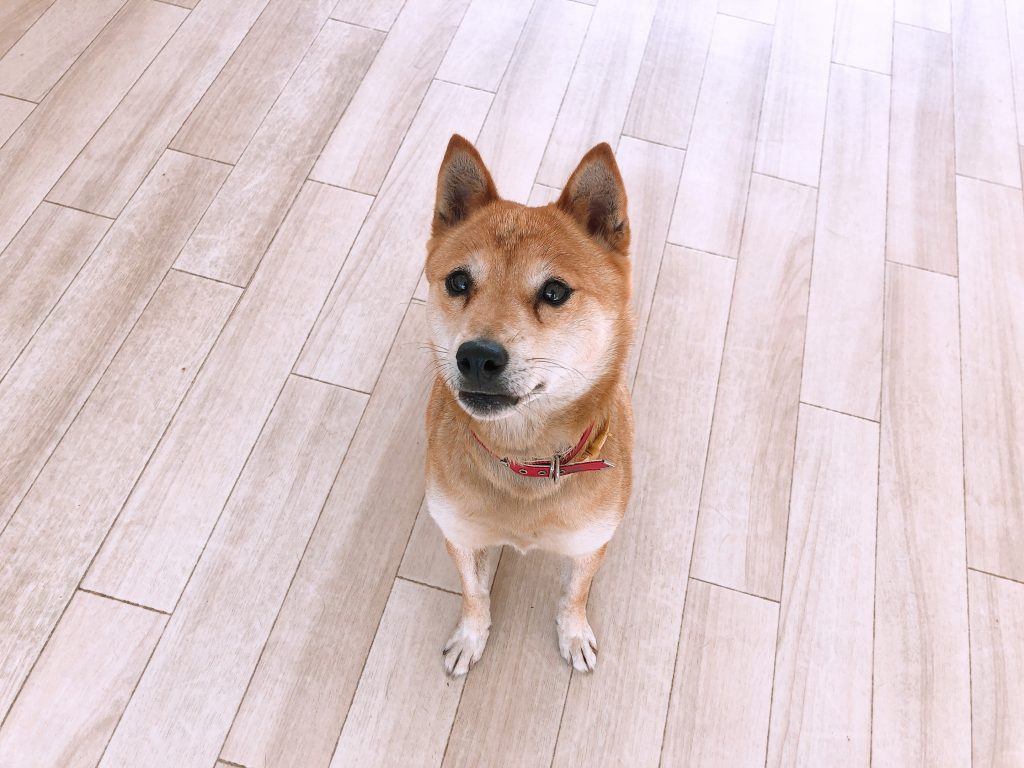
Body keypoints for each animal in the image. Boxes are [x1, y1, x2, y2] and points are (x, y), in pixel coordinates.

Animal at [423, 134, 634, 676]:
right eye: (458, 282)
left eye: (554, 291)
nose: (476, 356)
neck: (523, 461)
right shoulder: (460, 534)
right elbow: (473, 595)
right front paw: (470, 637)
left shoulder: (589, 544)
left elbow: (573, 596)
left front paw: (574, 634)